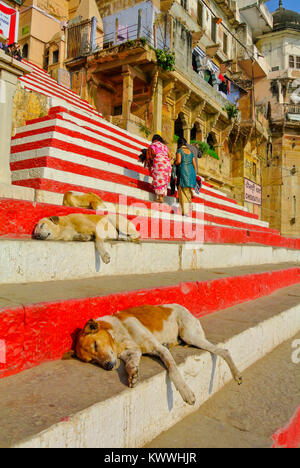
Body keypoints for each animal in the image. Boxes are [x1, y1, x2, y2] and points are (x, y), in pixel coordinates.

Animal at [74, 304, 243, 406]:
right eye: (92, 361)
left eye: (95, 345)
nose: (109, 367)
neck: (118, 335)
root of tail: (188, 310)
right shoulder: (133, 351)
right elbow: (131, 363)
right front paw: (132, 375)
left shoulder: (158, 349)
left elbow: (173, 369)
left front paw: (186, 392)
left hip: (190, 335)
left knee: (224, 351)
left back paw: (237, 374)